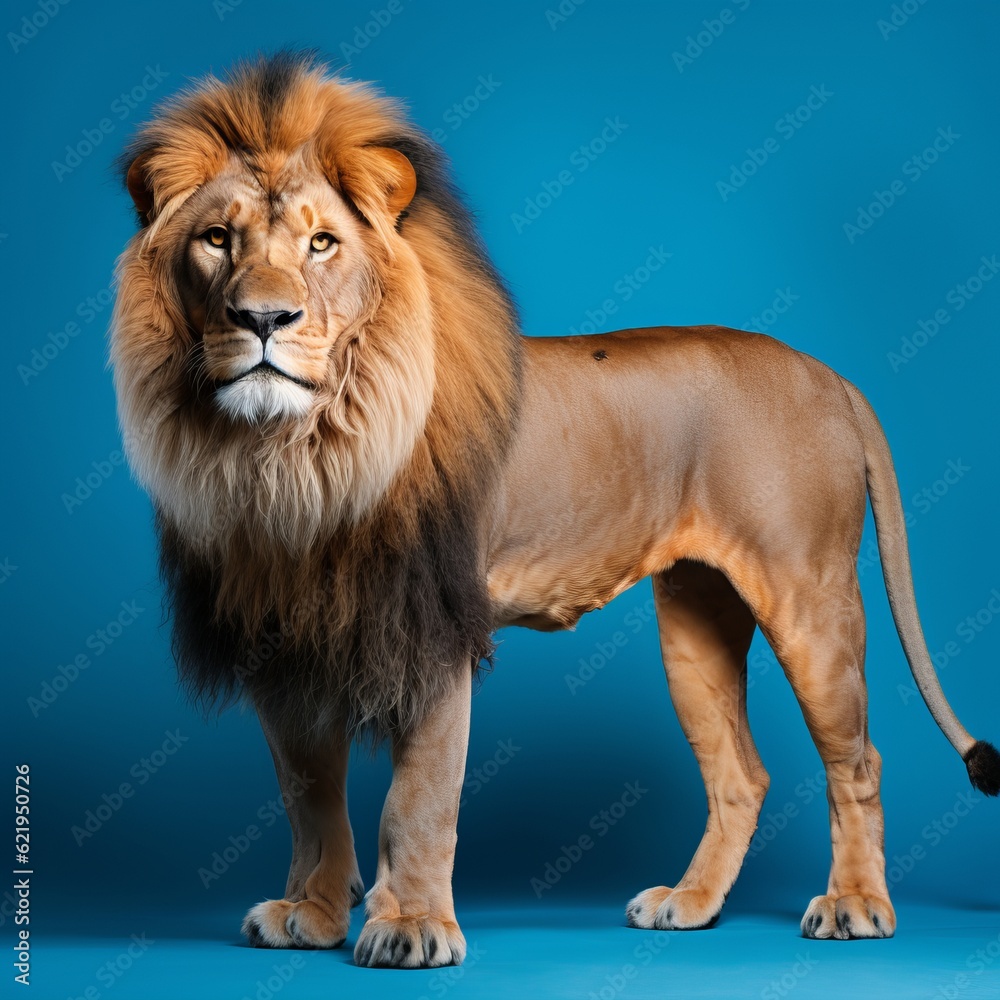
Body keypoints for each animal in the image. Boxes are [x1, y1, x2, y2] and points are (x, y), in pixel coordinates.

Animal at [110, 52, 999, 968]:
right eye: (218, 239)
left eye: (322, 243)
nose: (262, 318)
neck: (292, 454)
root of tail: (830, 374)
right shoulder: (282, 639)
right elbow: (308, 793)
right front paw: (312, 913)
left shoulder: (435, 624)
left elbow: (418, 795)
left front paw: (412, 926)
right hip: (697, 616)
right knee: (740, 774)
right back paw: (690, 903)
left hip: (809, 597)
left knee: (858, 762)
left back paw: (856, 904)